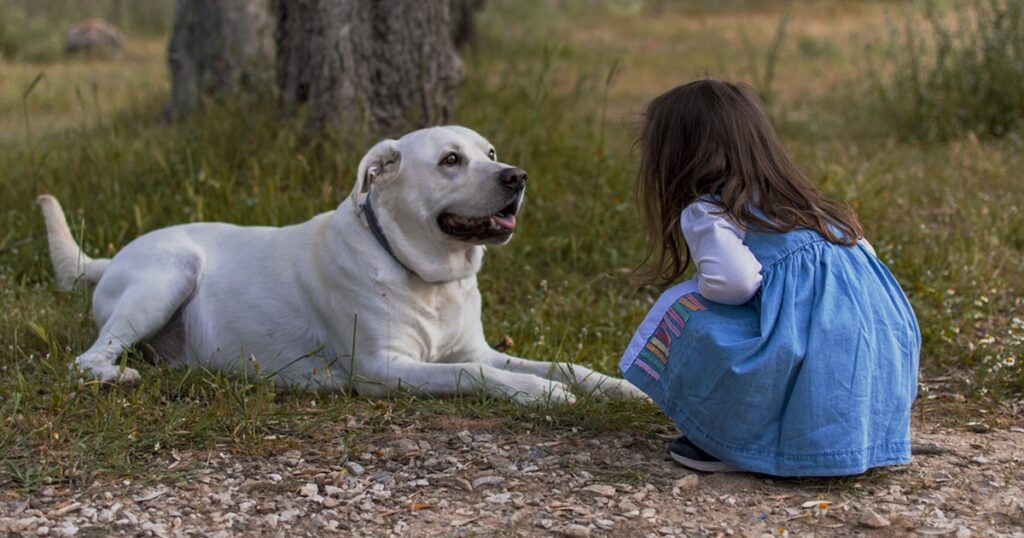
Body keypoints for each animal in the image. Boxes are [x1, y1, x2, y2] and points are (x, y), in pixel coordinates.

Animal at [46, 126, 647, 401]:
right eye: (450, 160)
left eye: (491, 154)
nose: (517, 177)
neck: (428, 279)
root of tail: (111, 257)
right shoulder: (385, 368)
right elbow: (472, 374)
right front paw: (539, 394)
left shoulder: (476, 347)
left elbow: (561, 364)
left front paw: (617, 388)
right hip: (168, 274)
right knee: (88, 358)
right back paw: (117, 375)